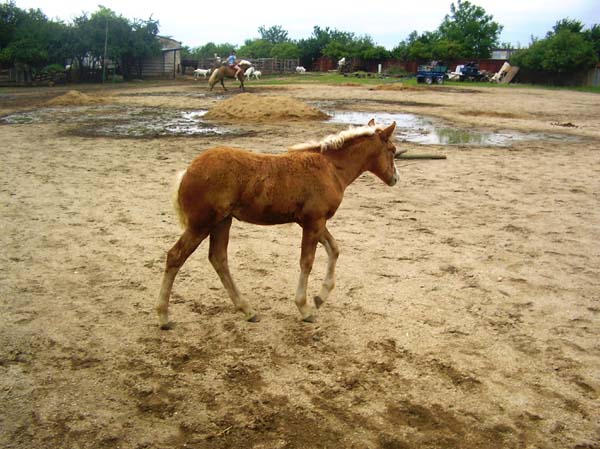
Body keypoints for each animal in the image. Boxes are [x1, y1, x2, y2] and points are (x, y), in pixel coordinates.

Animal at [157, 119, 406, 328]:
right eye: (392, 151)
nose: (396, 178)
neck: (331, 168)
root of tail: (188, 170)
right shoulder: (313, 221)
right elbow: (307, 262)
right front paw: (304, 308)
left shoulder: (314, 221)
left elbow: (334, 249)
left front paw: (320, 297)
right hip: (202, 223)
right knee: (175, 256)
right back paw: (163, 316)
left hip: (222, 222)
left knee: (218, 258)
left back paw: (247, 310)